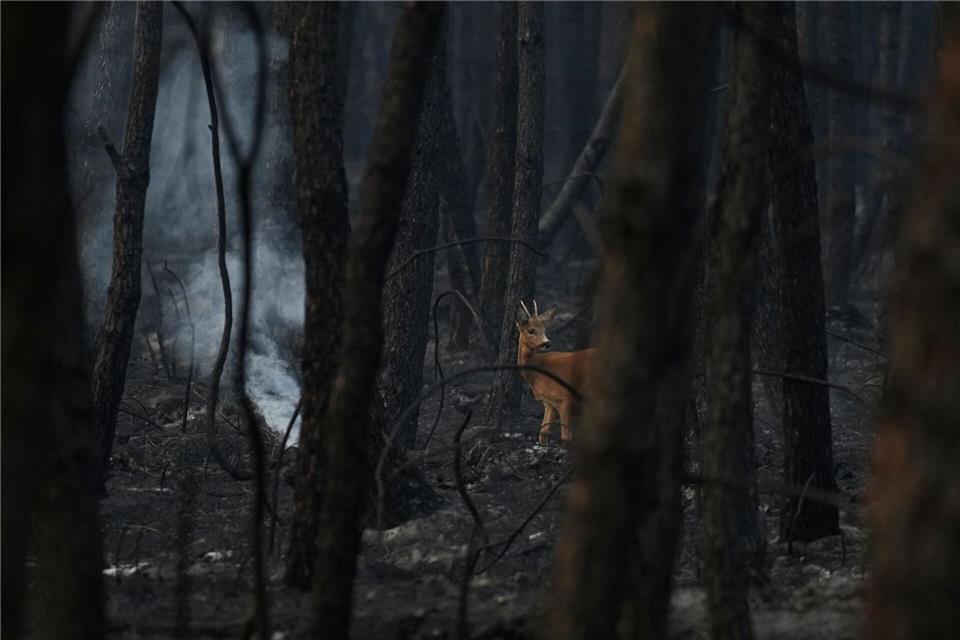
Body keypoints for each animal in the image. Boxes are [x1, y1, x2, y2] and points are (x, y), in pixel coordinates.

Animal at [515, 300, 596, 444]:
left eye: (544, 329)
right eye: (531, 331)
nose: (546, 343)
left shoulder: (565, 397)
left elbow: (566, 437)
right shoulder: (548, 403)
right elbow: (543, 434)